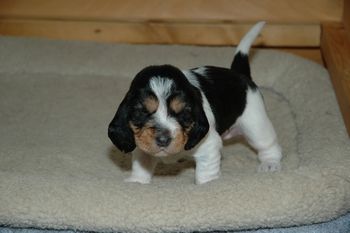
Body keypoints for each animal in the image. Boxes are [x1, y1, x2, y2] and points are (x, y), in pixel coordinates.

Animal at [108, 22, 284, 186]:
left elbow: (205, 172)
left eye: (183, 113)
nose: (163, 139)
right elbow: (141, 165)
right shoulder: (142, 146)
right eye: (141, 112)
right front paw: (137, 182)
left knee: (268, 145)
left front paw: (206, 184)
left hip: (255, 124)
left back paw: (270, 163)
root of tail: (239, 74)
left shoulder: (209, 146)